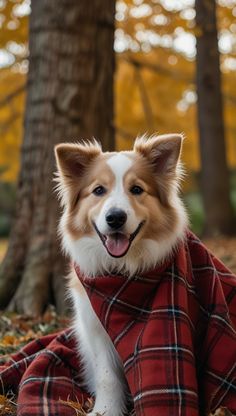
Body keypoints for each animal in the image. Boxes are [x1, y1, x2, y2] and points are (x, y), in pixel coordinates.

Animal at [54, 134, 189, 416]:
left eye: (136, 189)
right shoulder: (95, 327)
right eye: (98, 190)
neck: (121, 274)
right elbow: (107, 375)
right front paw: (106, 410)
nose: (115, 217)